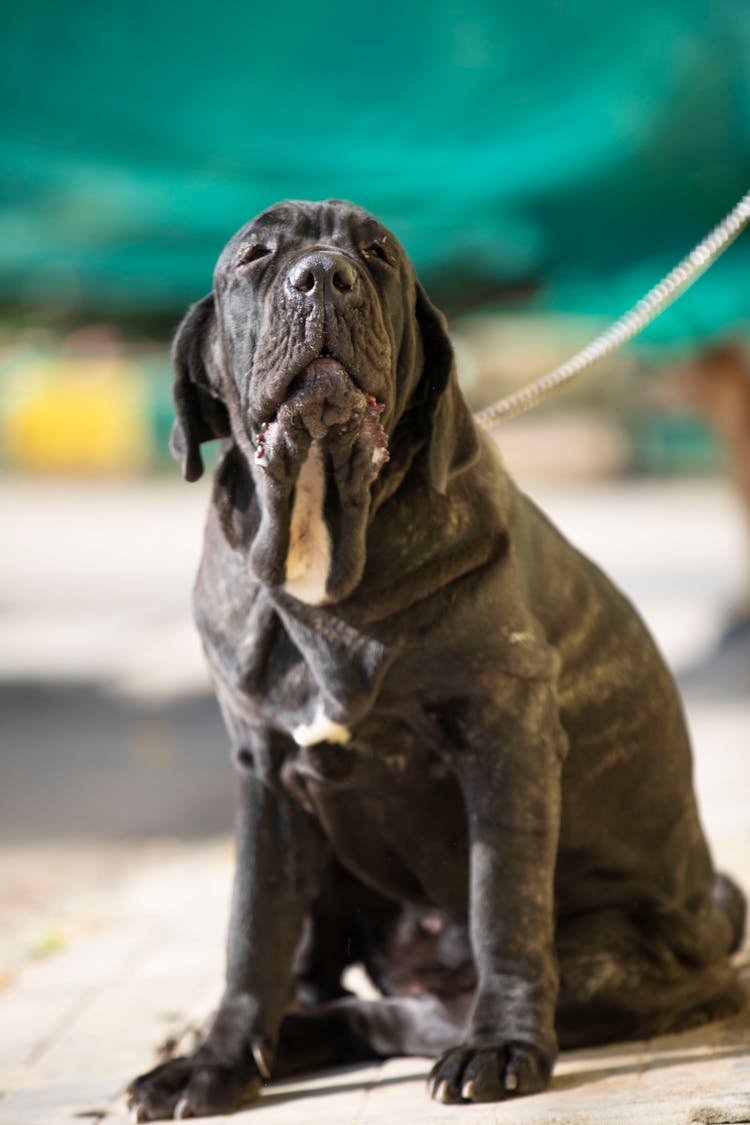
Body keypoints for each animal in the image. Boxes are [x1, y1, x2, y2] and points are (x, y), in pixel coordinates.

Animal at [127, 200, 746, 1116]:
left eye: (377, 253)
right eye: (257, 255)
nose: (323, 276)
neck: (323, 531)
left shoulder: (505, 738)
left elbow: (503, 906)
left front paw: (503, 1044)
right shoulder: (266, 773)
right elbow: (252, 932)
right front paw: (217, 1061)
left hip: (613, 957)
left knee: (413, 1009)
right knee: (329, 985)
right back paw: (257, 1042)